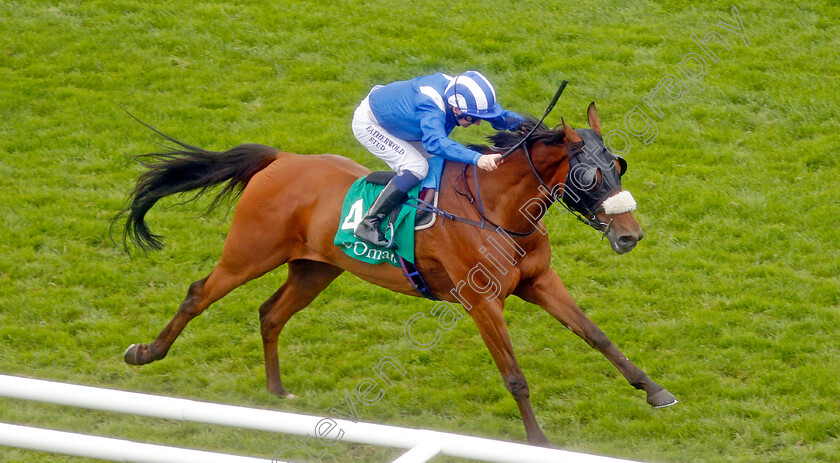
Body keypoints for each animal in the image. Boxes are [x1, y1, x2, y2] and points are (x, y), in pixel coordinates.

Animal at [116, 103, 676, 444]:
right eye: (588, 175)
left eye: (619, 166)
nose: (629, 235)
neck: (498, 209)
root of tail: (282, 158)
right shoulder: (483, 302)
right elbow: (515, 376)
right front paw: (537, 440)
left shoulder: (539, 284)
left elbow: (598, 336)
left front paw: (655, 391)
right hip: (248, 254)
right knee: (198, 294)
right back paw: (145, 353)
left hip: (315, 269)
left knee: (270, 312)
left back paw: (277, 391)